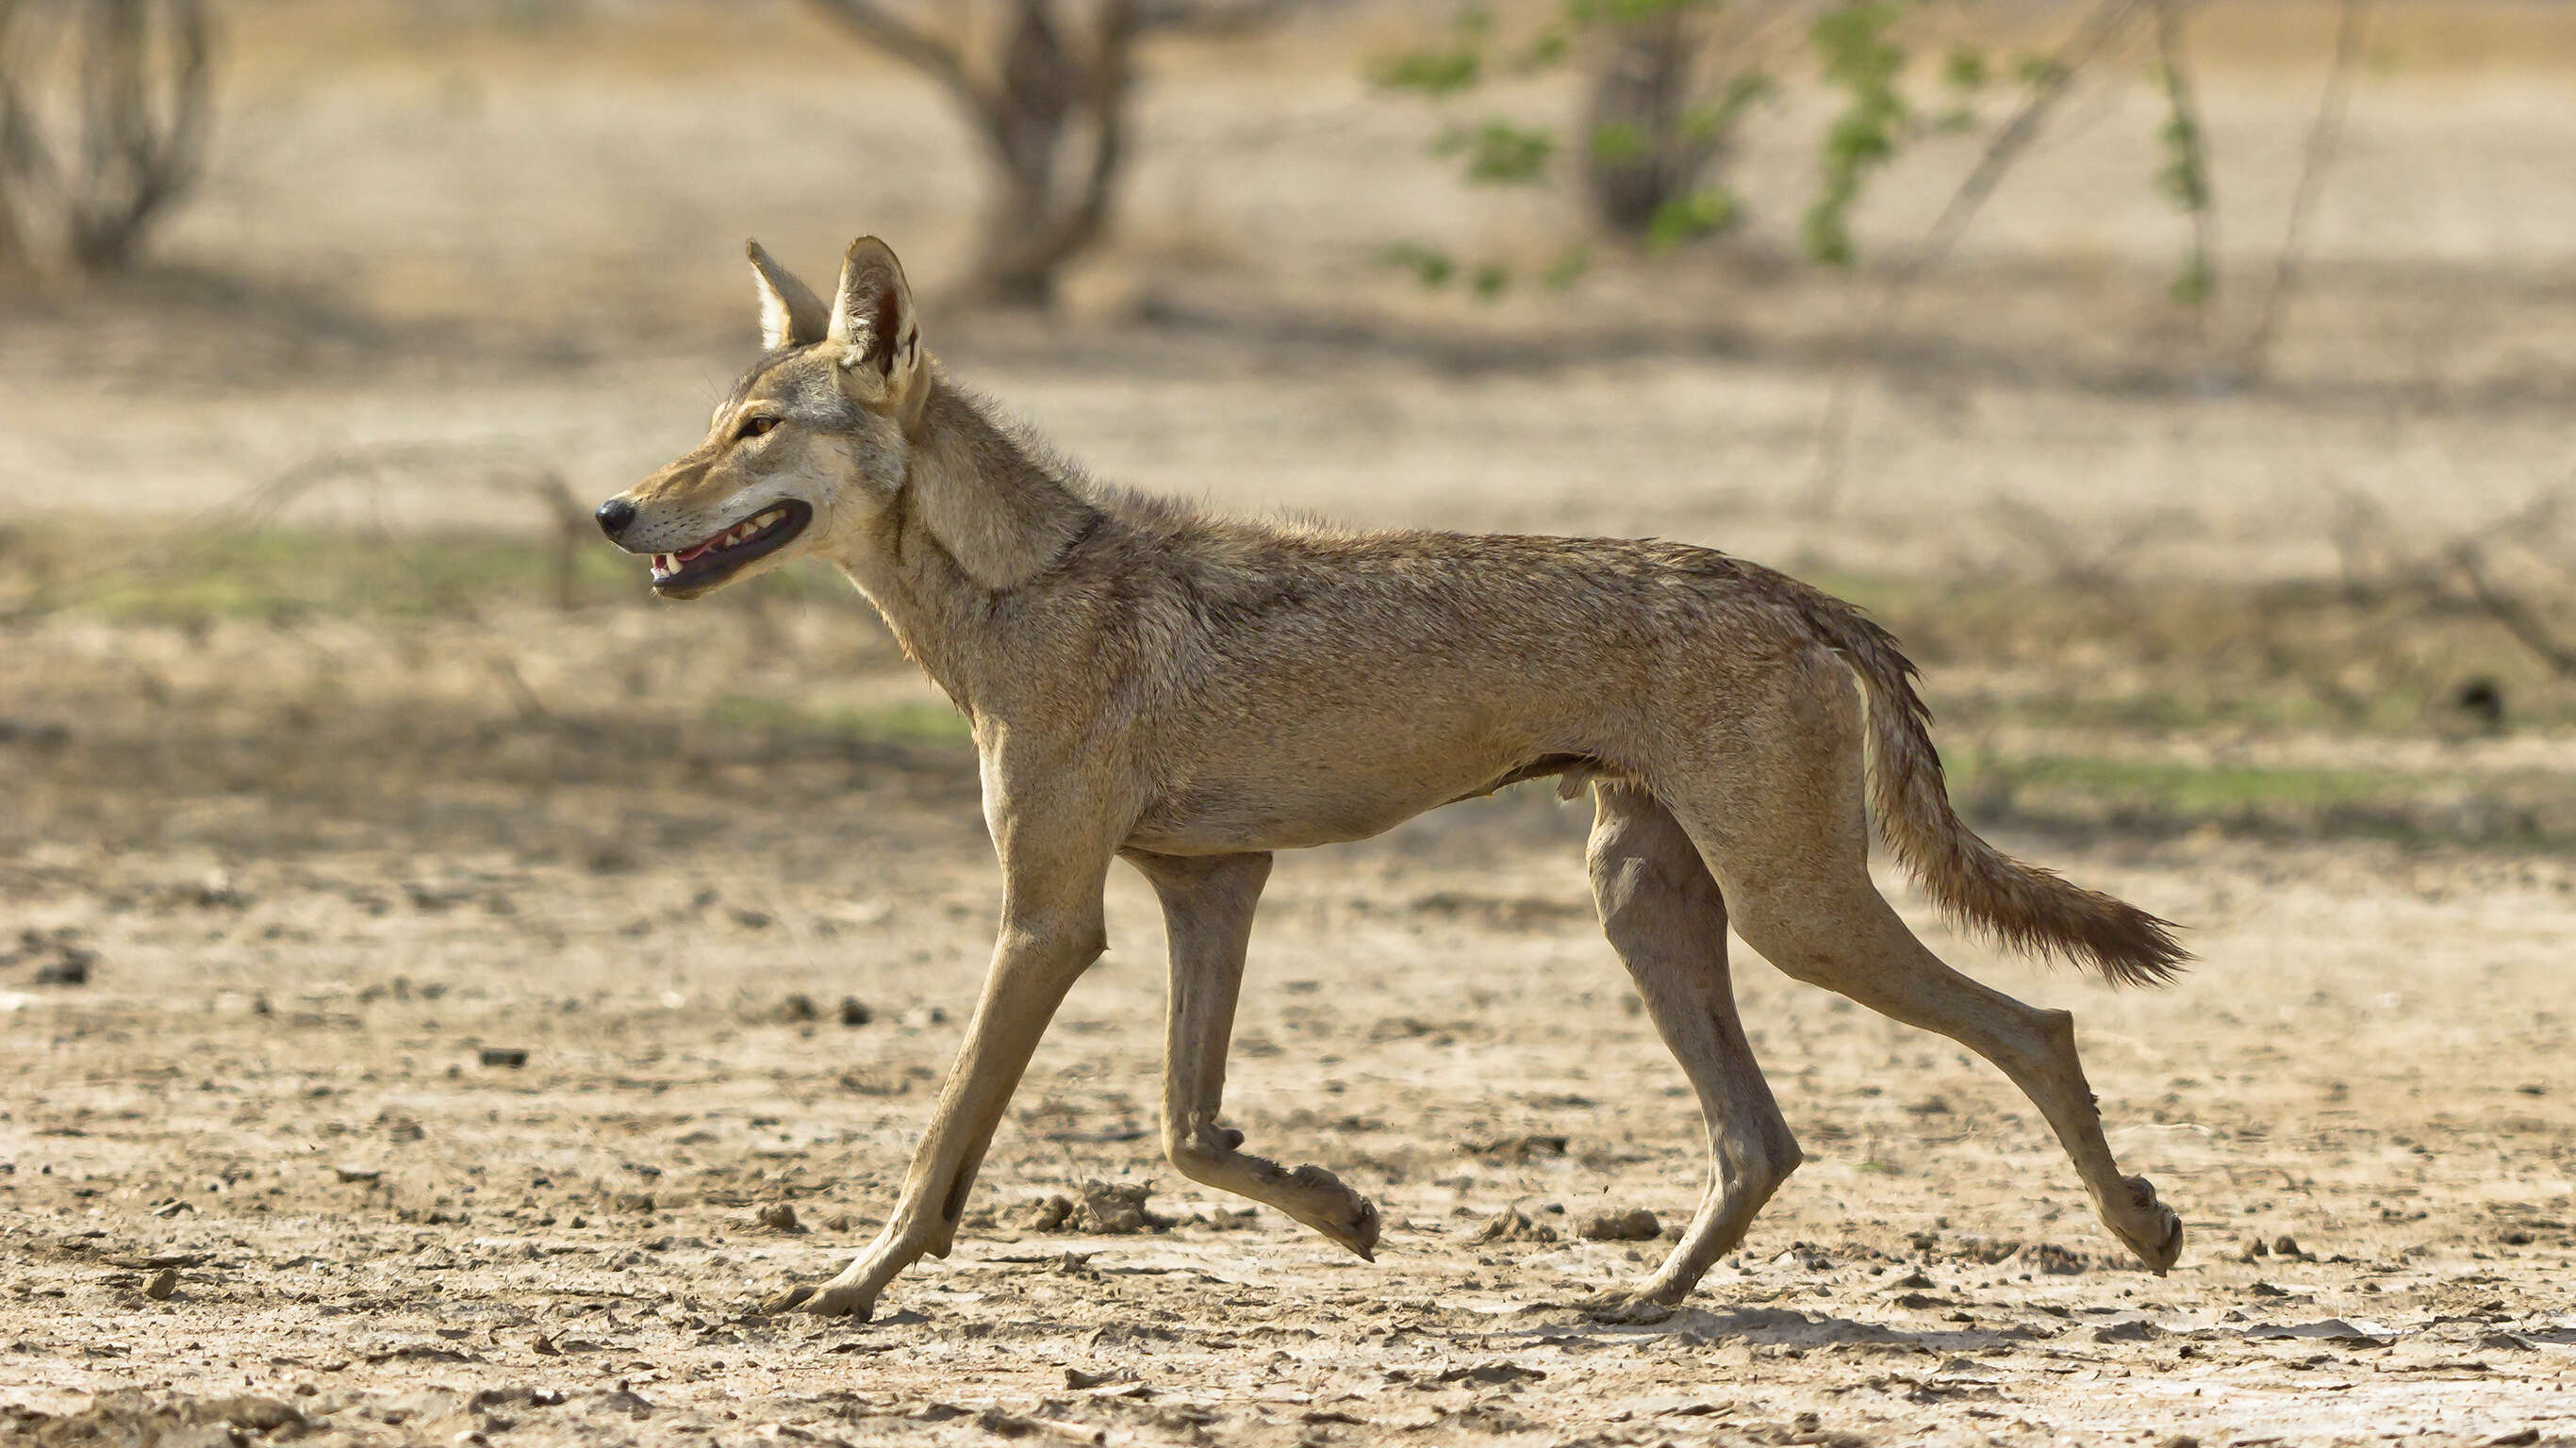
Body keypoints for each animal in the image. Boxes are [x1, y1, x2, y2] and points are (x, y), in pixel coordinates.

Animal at [597, 237, 2194, 1319]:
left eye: (754, 431)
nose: (613, 510)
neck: (1020, 587)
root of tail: (1789, 587)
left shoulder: (1049, 921)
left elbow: (944, 1141)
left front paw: (852, 1283)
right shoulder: (1210, 887)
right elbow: (1188, 1132)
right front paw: (1343, 1210)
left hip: (1794, 914)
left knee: (2034, 1025)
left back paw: (2141, 1229)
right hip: (1647, 903)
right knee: (1763, 1139)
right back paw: (1642, 1302)